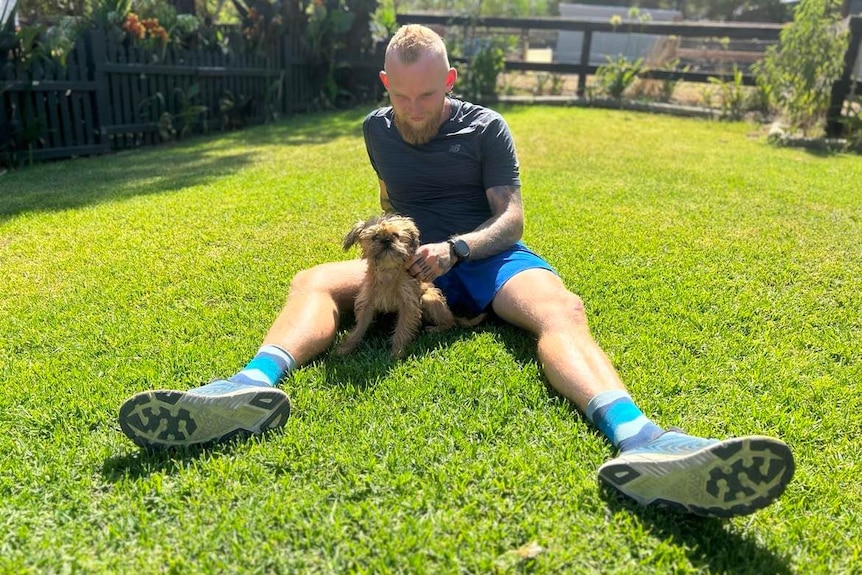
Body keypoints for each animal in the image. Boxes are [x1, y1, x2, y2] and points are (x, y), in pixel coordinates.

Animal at [338, 214, 462, 358]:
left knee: (450, 322)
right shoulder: (367, 304)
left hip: (428, 298)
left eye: (396, 235)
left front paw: (396, 353)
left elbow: (402, 330)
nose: (386, 240)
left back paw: (435, 329)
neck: (388, 271)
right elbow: (359, 328)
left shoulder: (408, 305)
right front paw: (346, 348)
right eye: (375, 236)